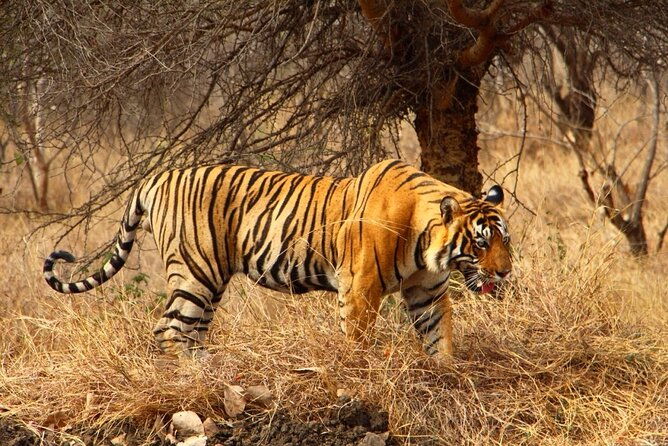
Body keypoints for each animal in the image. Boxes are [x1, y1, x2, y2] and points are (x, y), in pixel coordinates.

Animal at [43, 159, 512, 359]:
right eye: (481, 244)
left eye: (505, 241)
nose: (506, 272)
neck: (429, 248)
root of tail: (159, 175)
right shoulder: (360, 288)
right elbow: (358, 339)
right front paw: (361, 374)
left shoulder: (427, 294)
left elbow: (439, 338)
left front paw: (446, 375)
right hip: (196, 272)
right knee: (169, 330)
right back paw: (193, 379)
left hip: (210, 283)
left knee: (189, 331)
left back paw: (209, 373)